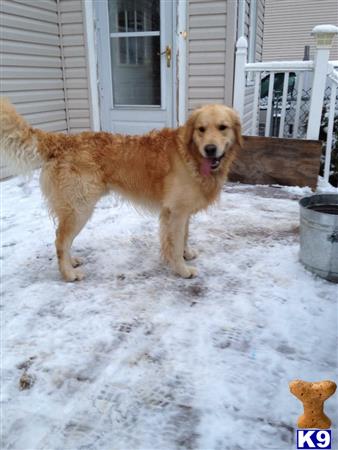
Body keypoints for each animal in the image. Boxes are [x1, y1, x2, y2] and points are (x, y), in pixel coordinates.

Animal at [0, 100, 243, 280]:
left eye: (223, 127)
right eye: (201, 129)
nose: (210, 149)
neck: (190, 155)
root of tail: (62, 140)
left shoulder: (181, 212)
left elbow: (184, 236)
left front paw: (187, 253)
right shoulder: (176, 212)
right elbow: (174, 243)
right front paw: (181, 269)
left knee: (64, 240)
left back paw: (71, 261)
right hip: (80, 208)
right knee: (60, 240)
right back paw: (68, 273)